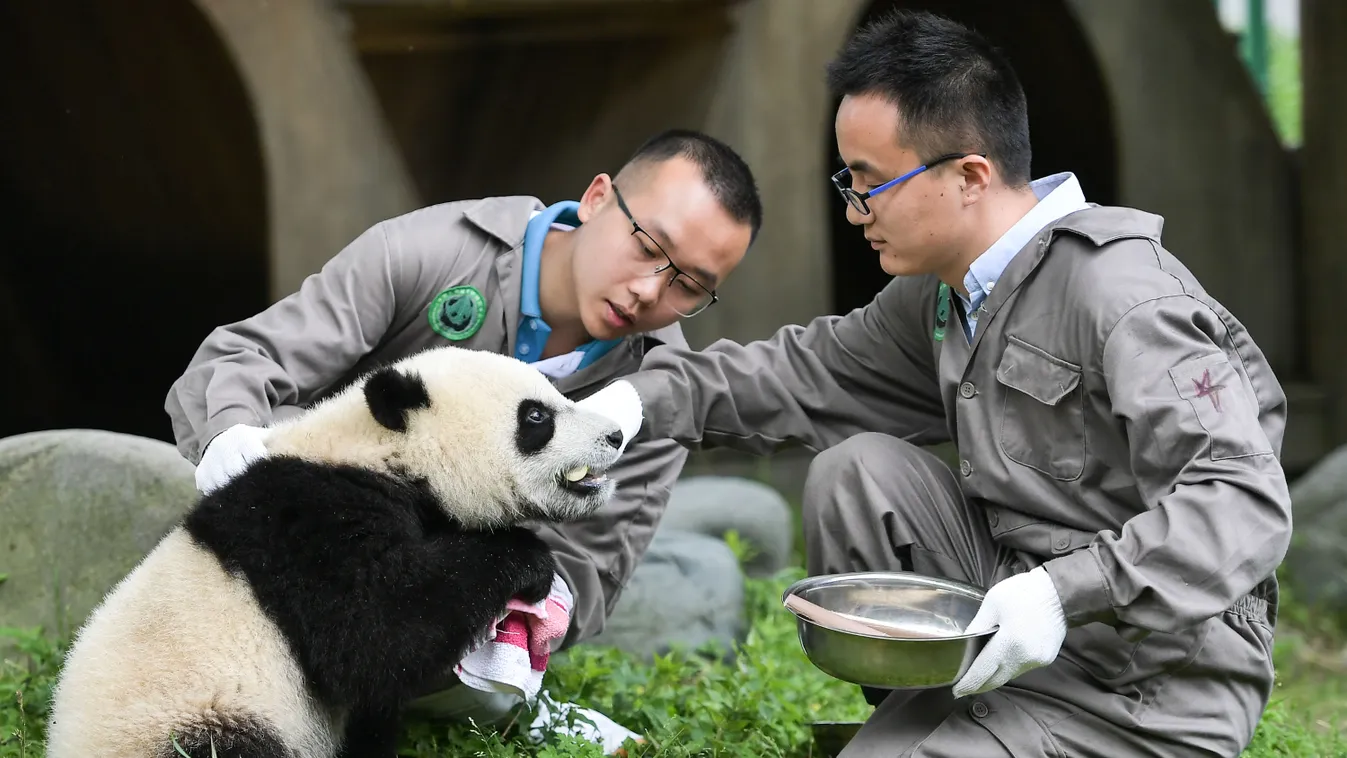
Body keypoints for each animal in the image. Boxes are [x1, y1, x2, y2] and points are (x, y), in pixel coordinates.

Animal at [43, 344, 630, 758]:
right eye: (536, 418)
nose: (616, 436)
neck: (379, 450)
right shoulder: (308, 522)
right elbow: (371, 633)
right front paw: (528, 561)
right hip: (188, 715)